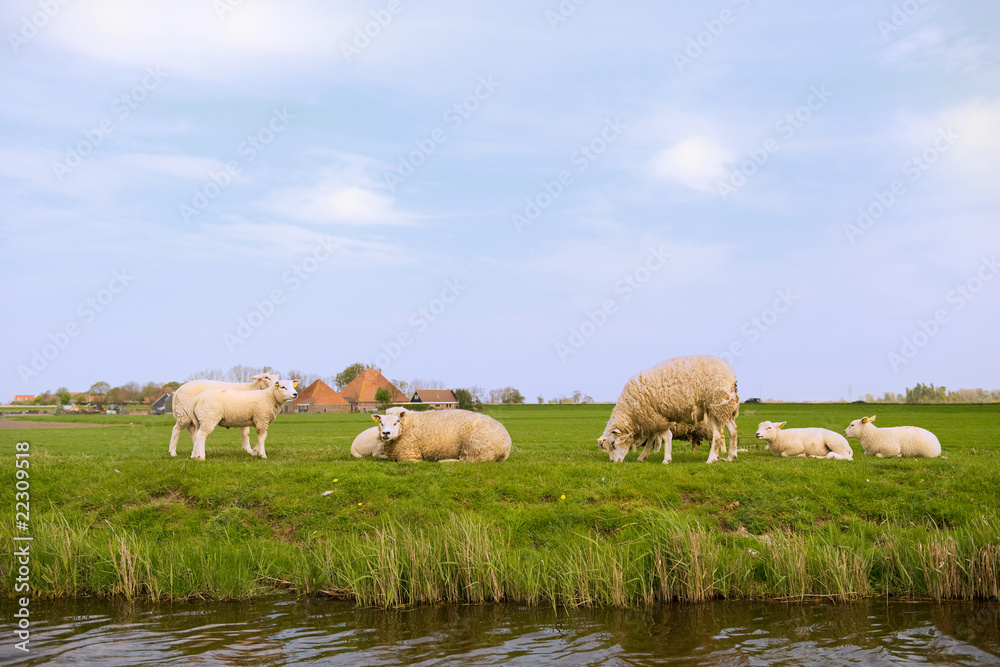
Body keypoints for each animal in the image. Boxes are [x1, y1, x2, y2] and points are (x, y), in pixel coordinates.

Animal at [371, 408, 511, 462]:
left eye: (397, 422)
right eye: (381, 422)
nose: (385, 433)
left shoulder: (410, 456)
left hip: (475, 449)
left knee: (466, 462)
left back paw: (444, 461)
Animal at [597, 355, 739, 464]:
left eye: (613, 443)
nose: (612, 461)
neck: (631, 411)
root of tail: (730, 373)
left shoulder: (660, 418)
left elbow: (665, 437)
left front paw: (666, 459)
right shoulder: (652, 420)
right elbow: (651, 440)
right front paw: (643, 456)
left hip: (716, 406)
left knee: (718, 435)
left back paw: (712, 458)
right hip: (724, 408)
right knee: (733, 430)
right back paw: (731, 456)